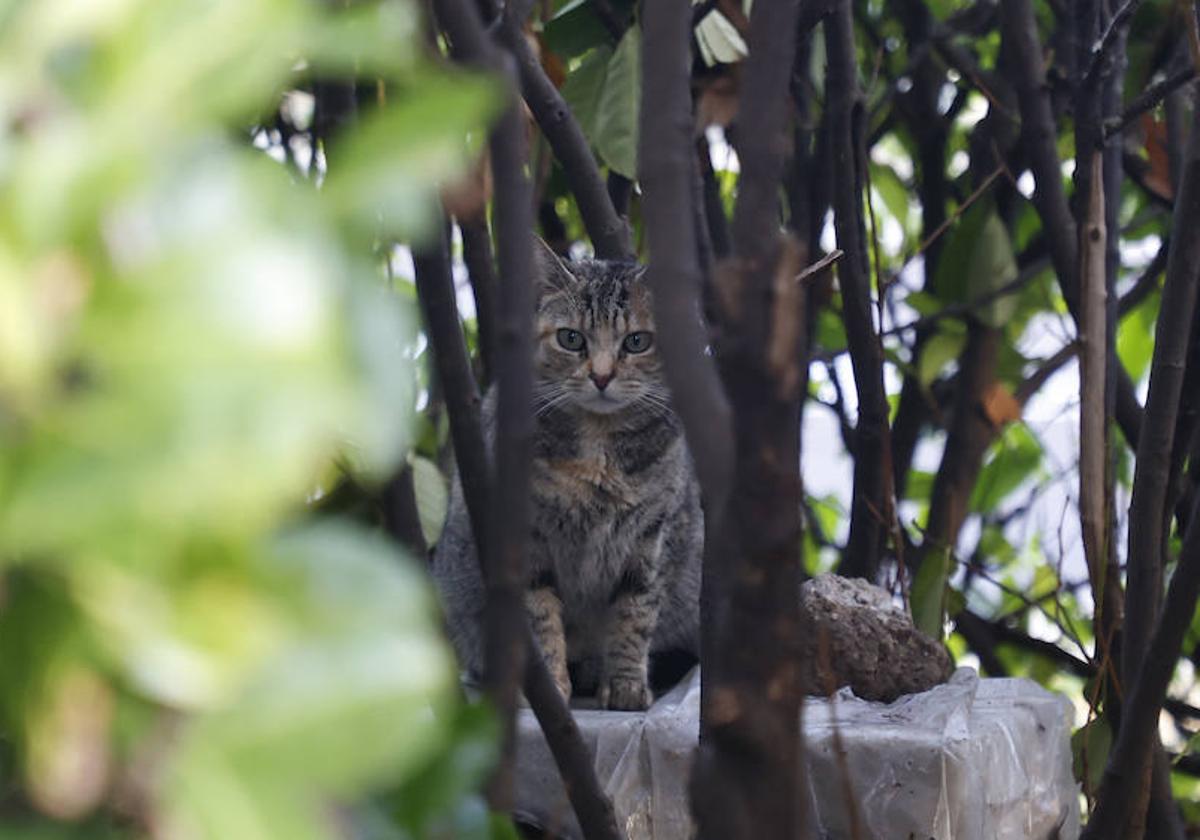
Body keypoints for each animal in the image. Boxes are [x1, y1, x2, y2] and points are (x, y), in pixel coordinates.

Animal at [432, 242, 700, 710]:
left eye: (637, 341)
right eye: (571, 338)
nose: (602, 375)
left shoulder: (651, 536)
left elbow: (635, 615)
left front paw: (627, 684)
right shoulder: (527, 538)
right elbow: (539, 617)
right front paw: (552, 689)